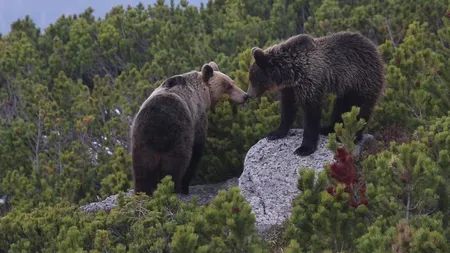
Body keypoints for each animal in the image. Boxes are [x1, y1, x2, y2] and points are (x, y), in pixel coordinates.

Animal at [130, 61, 250, 196]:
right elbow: (196, 150)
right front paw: (185, 186)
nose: (245, 96)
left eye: (232, 82)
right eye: (228, 86)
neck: (202, 94)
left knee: (141, 171)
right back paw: (175, 189)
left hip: (141, 141)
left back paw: (141, 192)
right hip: (178, 135)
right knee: (175, 166)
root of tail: (157, 125)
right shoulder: (198, 118)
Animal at [248, 30, 384, 155]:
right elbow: (288, 108)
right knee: (341, 107)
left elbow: (311, 113)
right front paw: (275, 133)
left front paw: (304, 148)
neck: (292, 71)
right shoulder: (290, 88)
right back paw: (329, 129)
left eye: (253, 79)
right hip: (346, 88)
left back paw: (353, 135)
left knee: (361, 109)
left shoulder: (310, 80)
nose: (249, 95)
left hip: (362, 80)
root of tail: (375, 49)